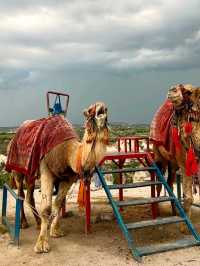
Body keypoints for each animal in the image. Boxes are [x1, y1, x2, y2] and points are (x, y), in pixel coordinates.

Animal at [6, 101, 108, 251]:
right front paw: (41, 244)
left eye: (106, 109)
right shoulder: (46, 170)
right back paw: (24, 223)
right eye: (90, 110)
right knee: (20, 194)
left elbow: (58, 203)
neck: (66, 153)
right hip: (18, 170)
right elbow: (47, 208)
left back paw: (38, 223)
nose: (101, 107)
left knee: (29, 195)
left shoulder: (68, 178)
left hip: (31, 174)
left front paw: (55, 231)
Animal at [152, 83, 200, 229]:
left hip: (172, 162)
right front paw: (185, 227)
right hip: (158, 155)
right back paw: (158, 212)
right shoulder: (185, 163)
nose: (171, 90)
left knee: (170, 183)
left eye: (188, 92)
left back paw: (175, 212)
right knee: (159, 183)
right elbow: (188, 197)